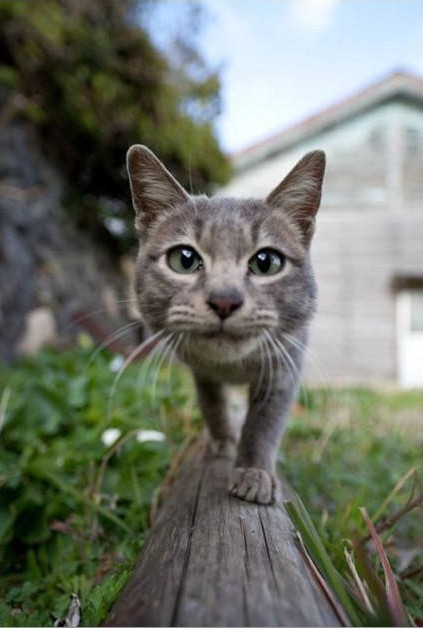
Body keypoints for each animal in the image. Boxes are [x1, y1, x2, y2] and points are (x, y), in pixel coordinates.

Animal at [125, 144, 324, 506]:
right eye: (184, 259)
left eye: (266, 262)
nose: (224, 300)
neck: (233, 366)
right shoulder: (200, 371)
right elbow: (212, 404)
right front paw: (221, 442)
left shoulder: (284, 365)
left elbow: (264, 421)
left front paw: (253, 473)